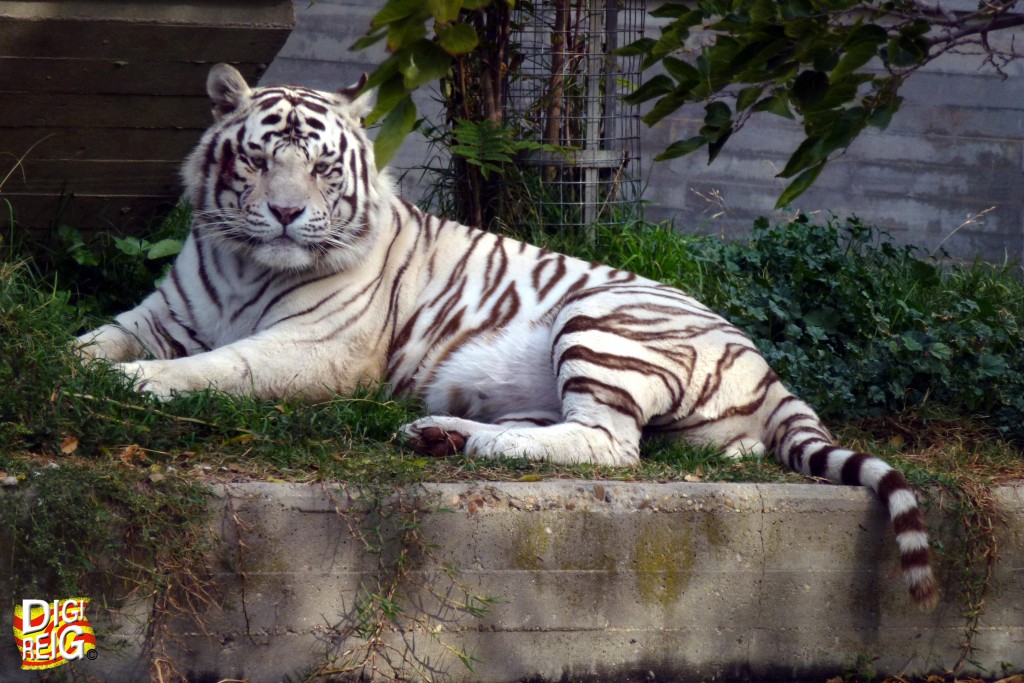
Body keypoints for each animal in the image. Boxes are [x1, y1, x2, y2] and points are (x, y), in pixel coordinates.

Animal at [77, 63, 937, 608]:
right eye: (257, 160)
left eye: (323, 169)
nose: (286, 214)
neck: (243, 260)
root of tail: (765, 362)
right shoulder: (158, 316)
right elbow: (93, 340)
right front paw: (72, 366)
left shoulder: (313, 348)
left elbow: (222, 366)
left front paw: (133, 385)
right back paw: (441, 434)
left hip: (600, 323)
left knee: (609, 445)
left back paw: (467, 441)